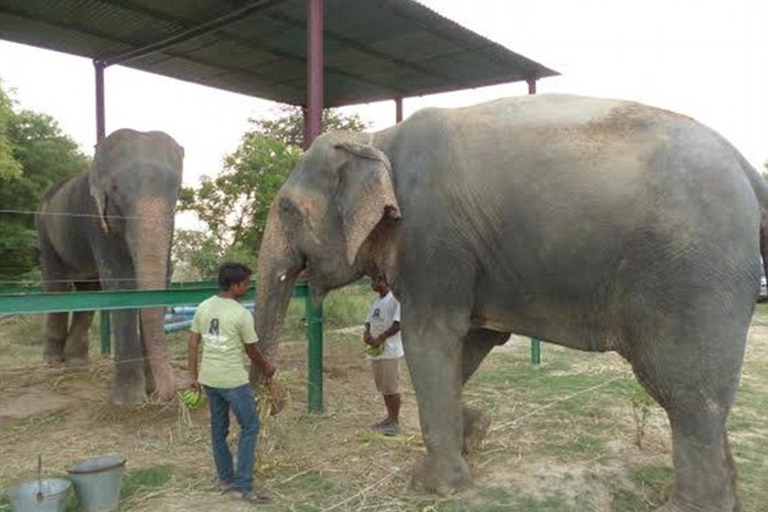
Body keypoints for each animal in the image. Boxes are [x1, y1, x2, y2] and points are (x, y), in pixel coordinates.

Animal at [36, 130, 185, 406]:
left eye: (178, 191)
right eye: (114, 190)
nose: (163, 395)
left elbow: (163, 277)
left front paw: (149, 391)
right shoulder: (94, 216)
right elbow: (121, 279)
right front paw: (128, 401)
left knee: (87, 291)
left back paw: (76, 364)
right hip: (44, 231)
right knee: (56, 284)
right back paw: (53, 361)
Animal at [254, 94, 768, 510]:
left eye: (286, 210)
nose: (272, 408)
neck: (377, 137)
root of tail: (747, 168)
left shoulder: (432, 240)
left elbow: (431, 340)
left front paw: (434, 487)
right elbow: (472, 342)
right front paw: (476, 432)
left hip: (691, 275)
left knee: (684, 390)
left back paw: (686, 506)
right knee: (698, 397)